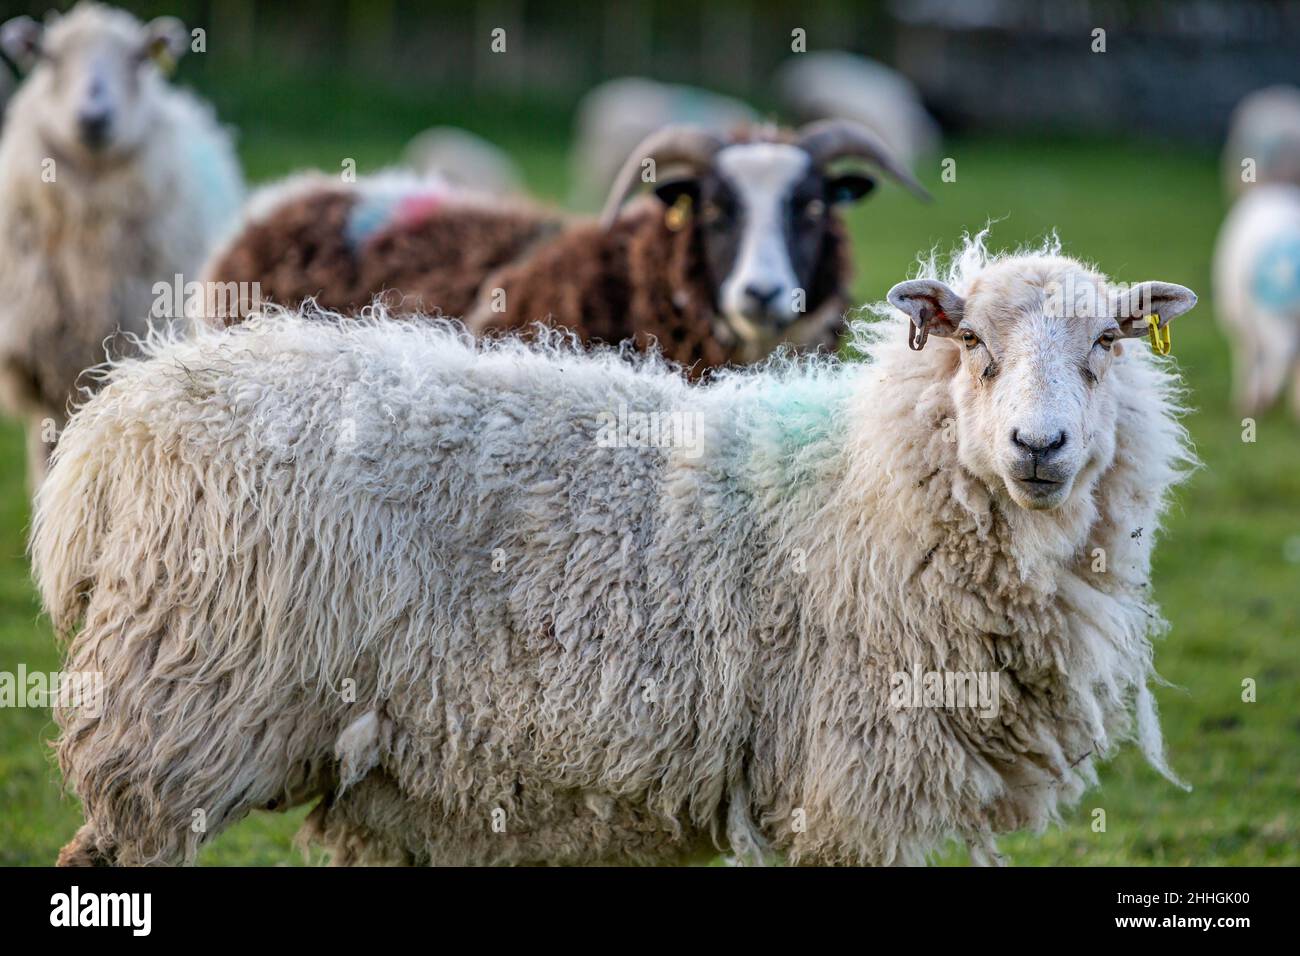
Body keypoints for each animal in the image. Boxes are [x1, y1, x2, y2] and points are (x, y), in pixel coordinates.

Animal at [36, 233, 1199, 867]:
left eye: (1107, 344)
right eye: (973, 344)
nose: (1039, 446)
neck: (868, 487)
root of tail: (118, 421)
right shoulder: (849, 784)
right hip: (185, 711)